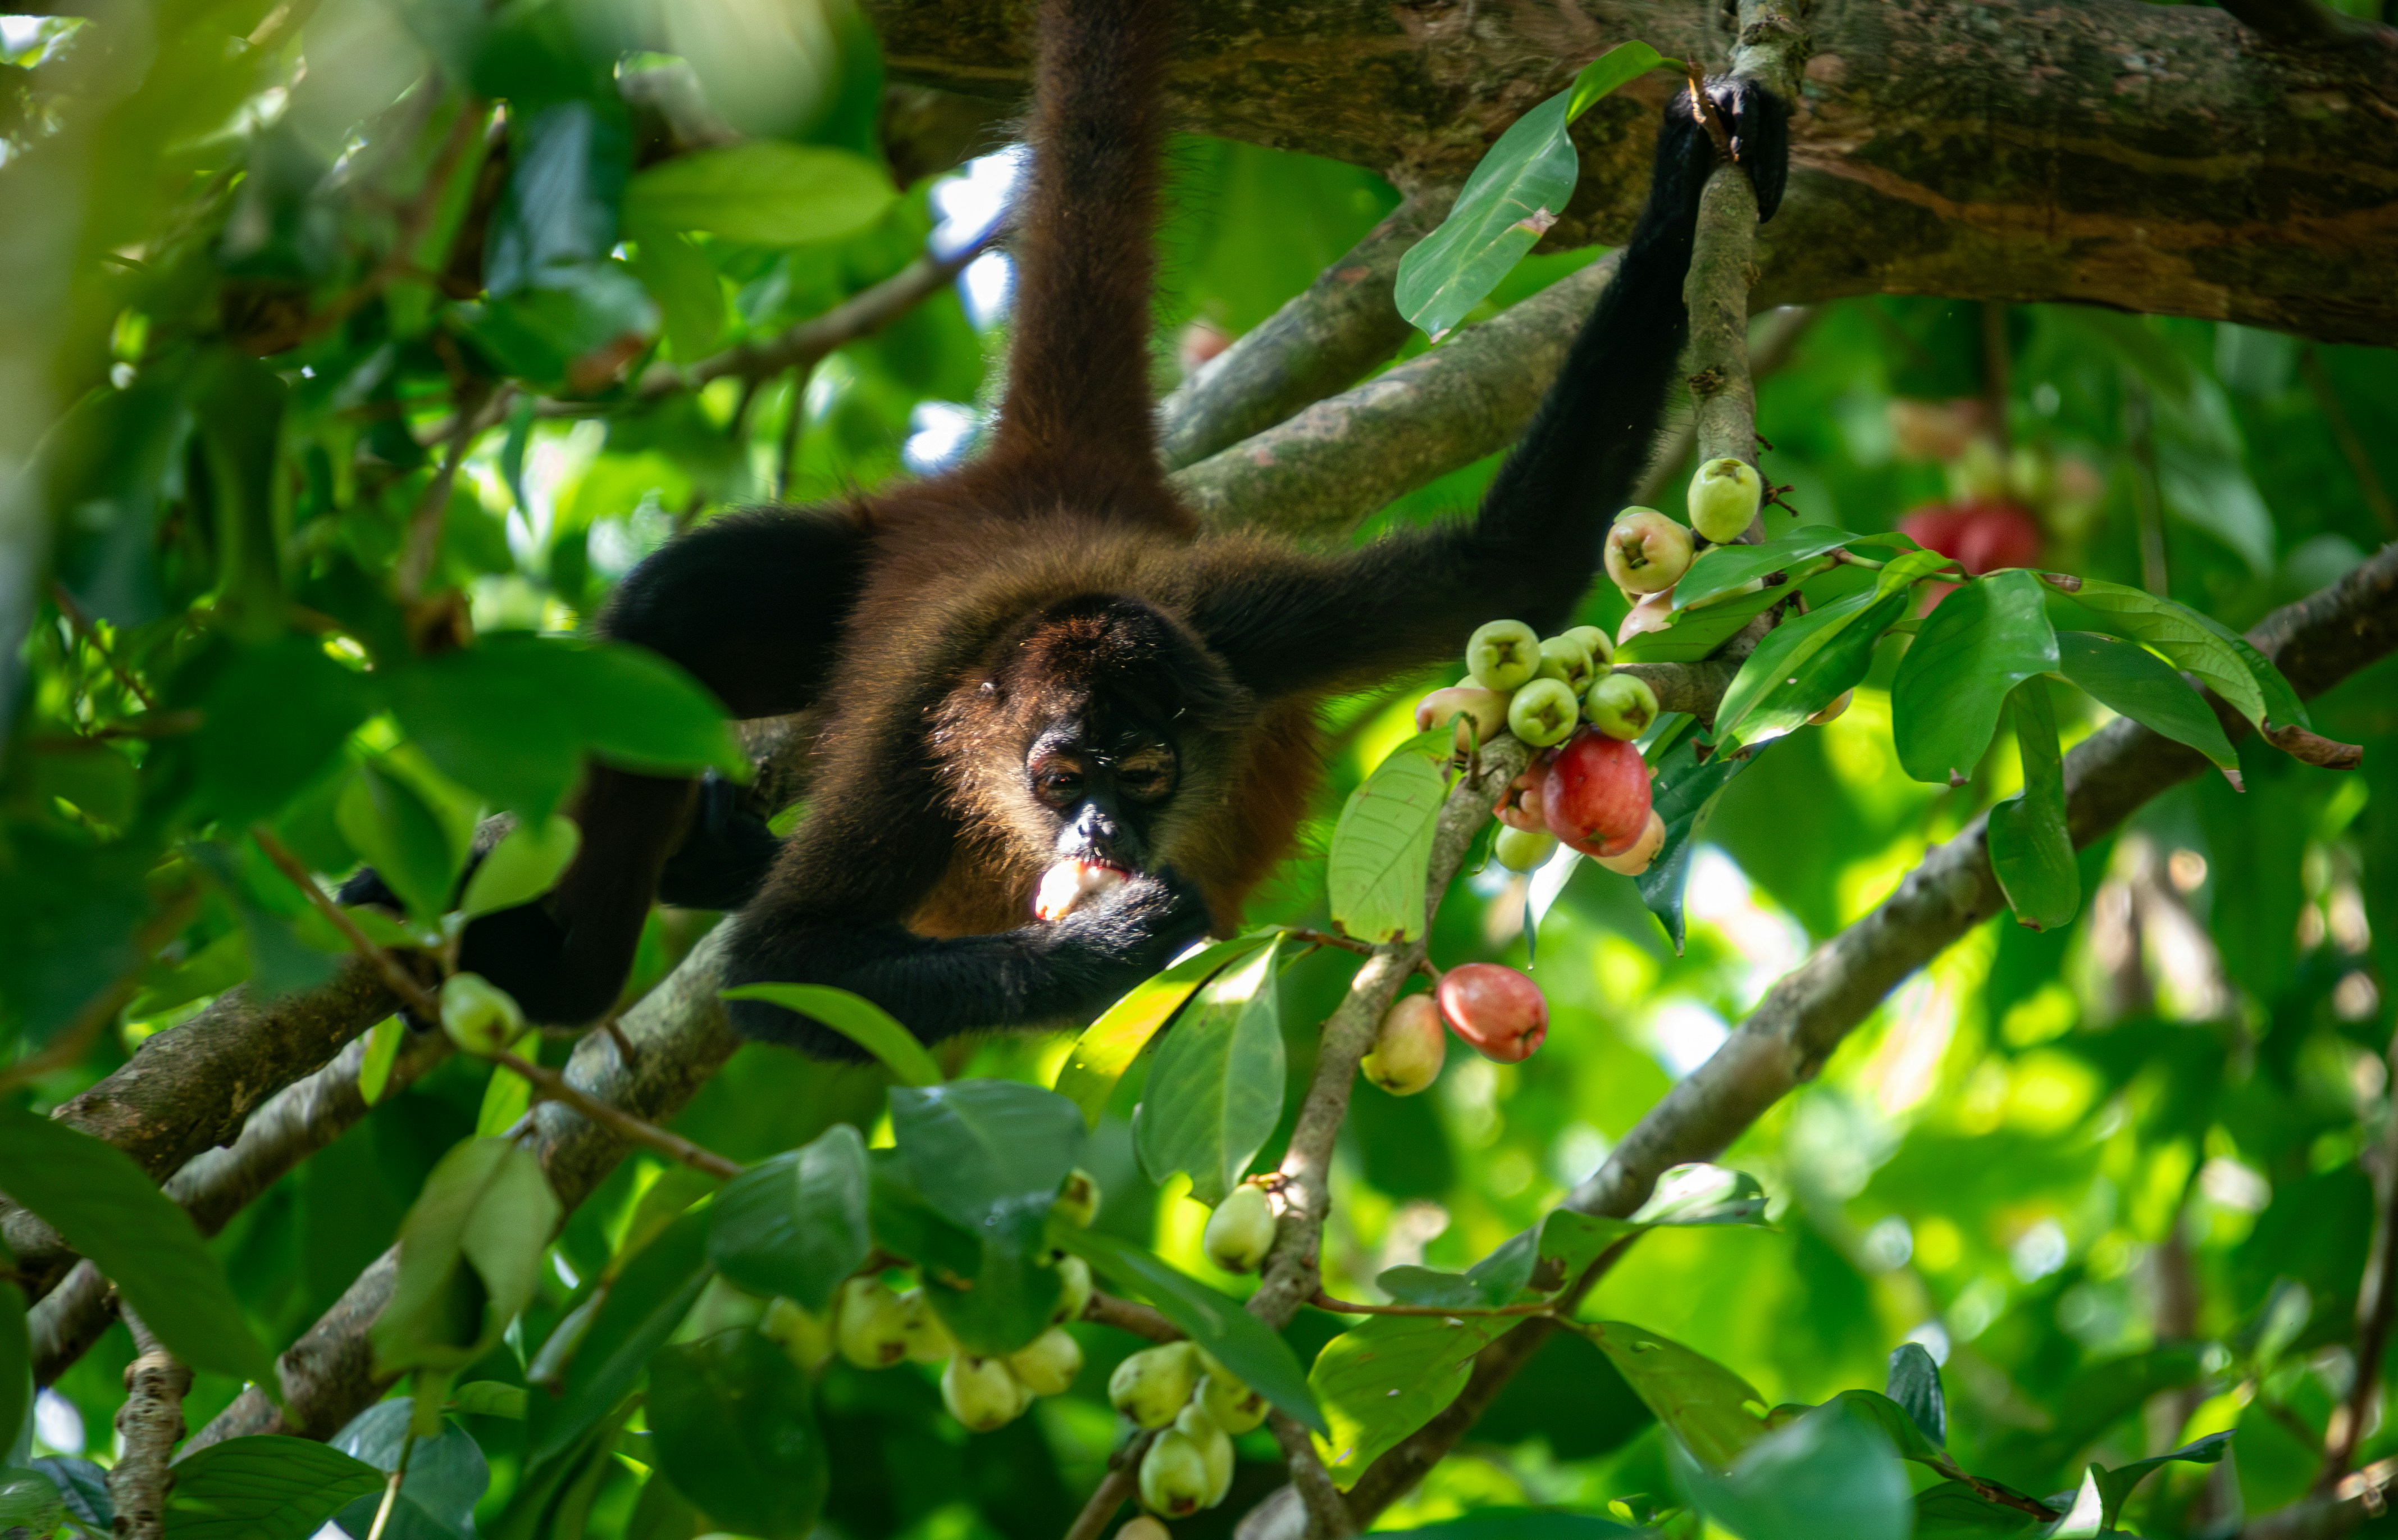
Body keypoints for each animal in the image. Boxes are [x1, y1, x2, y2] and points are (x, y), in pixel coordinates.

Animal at [366, 0, 1788, 1058]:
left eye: (1143, 770)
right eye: (1059, 781)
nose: (1100, 836)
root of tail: (1058, 481)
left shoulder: (1246, 633)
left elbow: (1507, 569)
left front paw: (1683, 188)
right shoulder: (927, 738)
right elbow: (778, 970)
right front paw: (1115, 942)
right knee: (677, 609)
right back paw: (574, 963)